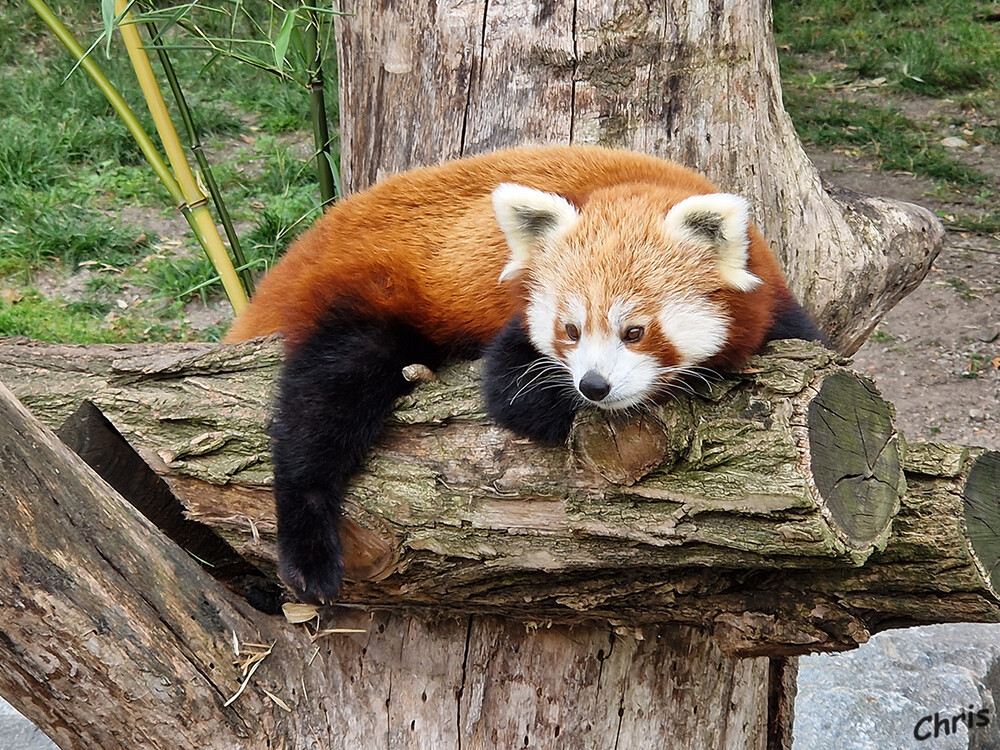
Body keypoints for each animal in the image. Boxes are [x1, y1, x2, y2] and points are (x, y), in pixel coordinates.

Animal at [227, 145, 828, 604]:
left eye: (634, 331)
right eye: (571, 329)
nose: (594, 386)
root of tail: (304, 248)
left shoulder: (773, 304)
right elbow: (513, 394)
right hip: (367, 291)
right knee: (324, 400)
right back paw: (306, 545)